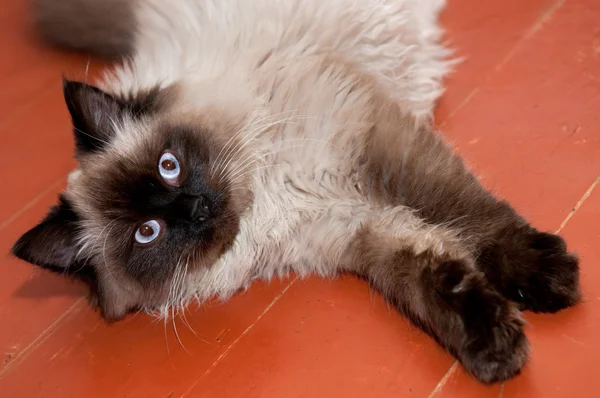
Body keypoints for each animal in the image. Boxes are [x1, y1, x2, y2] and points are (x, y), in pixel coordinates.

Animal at [12, 0, 580, 384]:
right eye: (147, 233)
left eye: (169, 166)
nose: (195, 208)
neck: (266, 197)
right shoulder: (359, 226)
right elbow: (434, 279)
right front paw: (494, 344)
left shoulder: (377, 146)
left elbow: (473, 216)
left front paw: (548, 277)